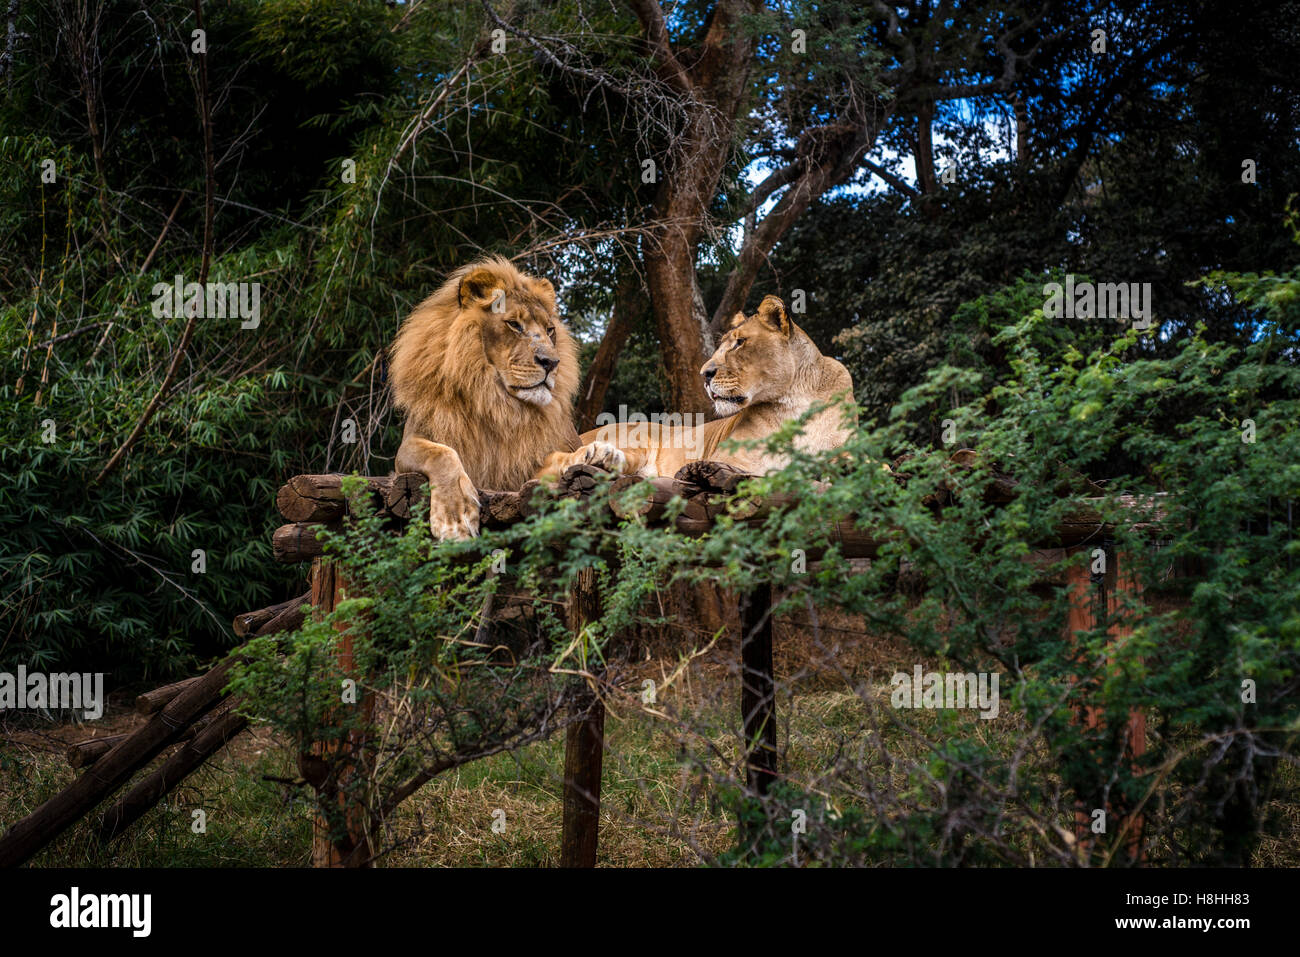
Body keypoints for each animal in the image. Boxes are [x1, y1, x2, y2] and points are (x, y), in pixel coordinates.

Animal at [389, 256, 625, 538]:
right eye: (514, 324)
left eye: (549, 329)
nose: (552, 362)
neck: (498, 402)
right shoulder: (407, 448)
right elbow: (441, 453)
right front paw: (455, 518)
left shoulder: (521, 468)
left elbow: (558, 458)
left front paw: (597, 453)